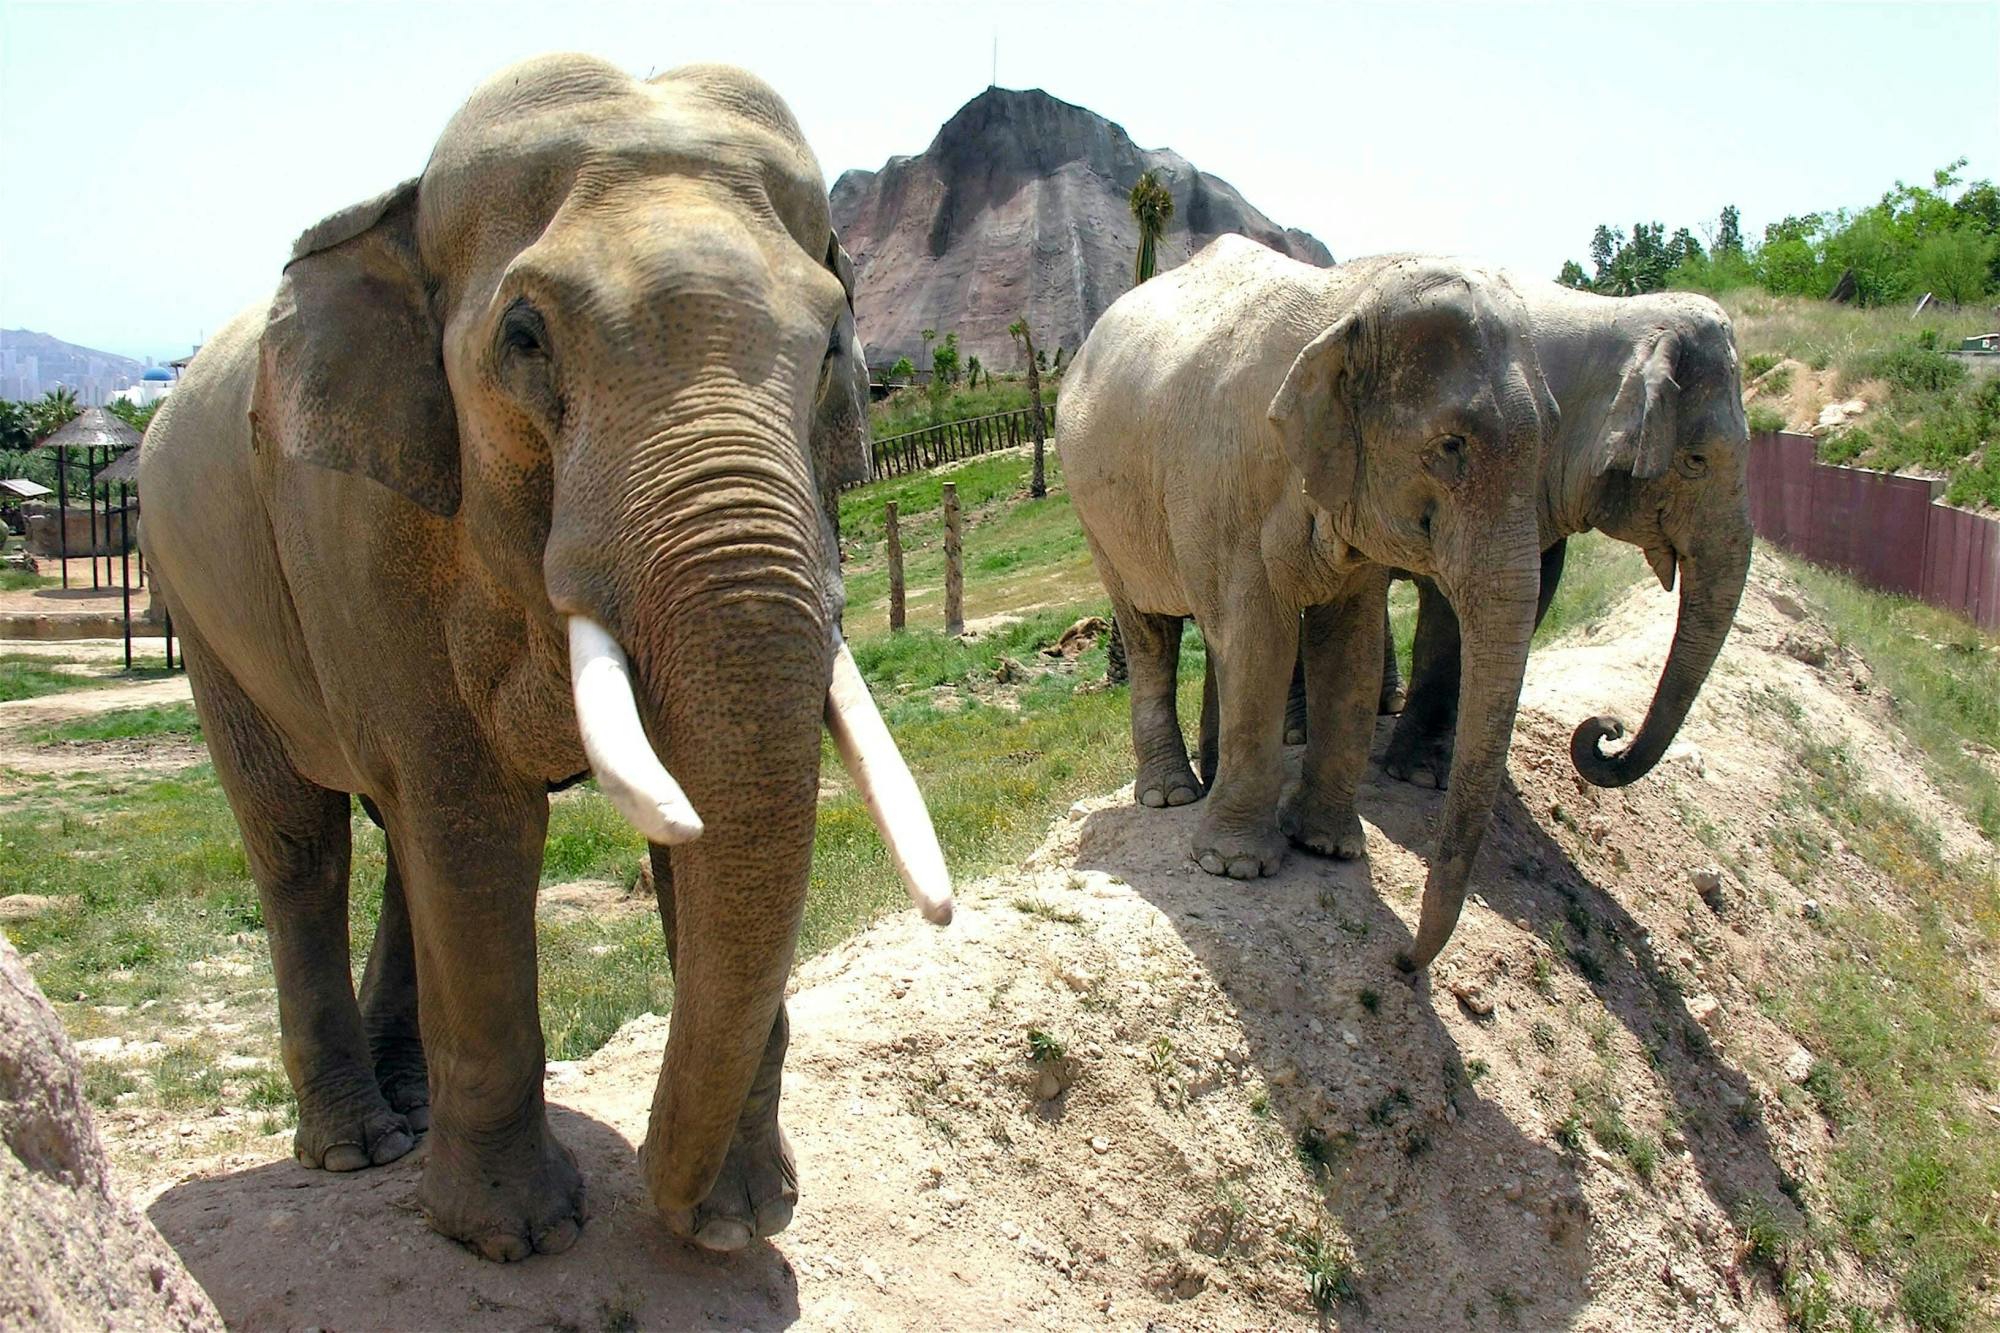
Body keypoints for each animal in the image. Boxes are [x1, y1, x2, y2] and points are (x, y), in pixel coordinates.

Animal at [139, 52, 952, 1256]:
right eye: (523, 339)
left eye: (834, 346)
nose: (669, 1201)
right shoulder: (361, 526)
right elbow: (479, 821)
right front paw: (515, 1237)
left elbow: (668, 822)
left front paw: (738, 1217)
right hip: (199, 604)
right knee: (302, 839)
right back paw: (358, 1147)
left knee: (396, 835)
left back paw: (408, 1107)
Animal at [1064, 236, 1560, 964]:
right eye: (1450, 447)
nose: (1404, 963)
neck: (1346, 299)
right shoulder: (1228, 483)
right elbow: (1261, 639)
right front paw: (1235, 868)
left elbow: (1350, 646)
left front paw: (1327, 847)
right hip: (1099, 516)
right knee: (1152, 631)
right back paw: (1172, 795)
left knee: (1210, 631)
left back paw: (1209, 777)